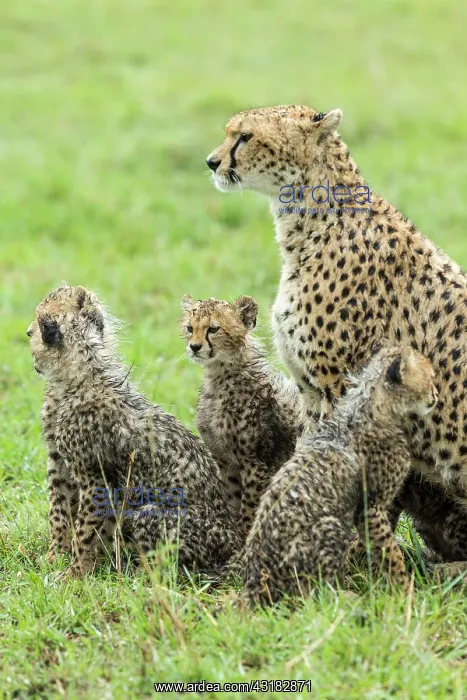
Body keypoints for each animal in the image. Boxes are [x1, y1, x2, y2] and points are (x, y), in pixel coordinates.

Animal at [28, 283, 241, 577]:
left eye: (40, 322)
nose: (27, 332)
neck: (81, 375)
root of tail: (234, 542)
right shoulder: (59, 460)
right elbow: (59, 510)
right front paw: (56, 556)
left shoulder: (94, 478)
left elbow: (84, 529)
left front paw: (76, 573)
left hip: (151, 514)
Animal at [181, 294, 300, 537]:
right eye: (190, 328)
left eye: (213, 329)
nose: (194, 347)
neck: (219, 375)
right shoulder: (224, 460)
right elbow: (233, 501)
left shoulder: (255, 463)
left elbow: (249, 509)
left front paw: (245, 538)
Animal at [242, 344, 438, 605]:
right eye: (430, 377)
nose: (436, 395)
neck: (373, 402)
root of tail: (253, 584)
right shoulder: (371, 508)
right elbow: (390, 553)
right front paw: (404, 593)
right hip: (329, 527)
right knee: (305, 595)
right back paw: (344, 596)